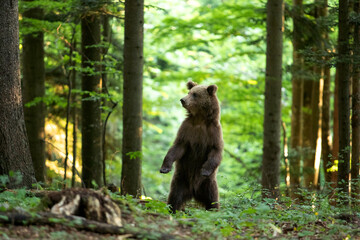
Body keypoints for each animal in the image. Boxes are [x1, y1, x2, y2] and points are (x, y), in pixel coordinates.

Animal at [160, 81, 222, 214]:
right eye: (189, 92)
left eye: (195, 94)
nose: (182, 99)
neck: (200, 119)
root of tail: (193, 192)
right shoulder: (187, 130)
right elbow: (177, 147)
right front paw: (165, 168)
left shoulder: (213, 132)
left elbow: (216, 151)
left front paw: (204, 170)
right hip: (181, 180)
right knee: (174, 197)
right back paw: (172, 210)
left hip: (208, 184)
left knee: (212, 200)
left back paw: (214, 210)